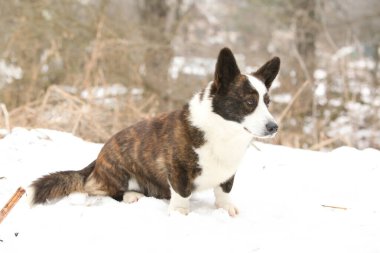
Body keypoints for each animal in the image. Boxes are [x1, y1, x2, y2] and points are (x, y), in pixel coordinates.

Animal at [29, 47, 280, 215]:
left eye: (267, 102)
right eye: (249, 102)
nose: (274, 127)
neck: (224, 131)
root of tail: (97, 161)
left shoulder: (227, 173)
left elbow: (224, 190)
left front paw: (226, 208)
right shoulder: (177, 169)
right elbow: (182, 193)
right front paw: (180, 214)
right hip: (119, 172)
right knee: (107, 192)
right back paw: (131, 195)